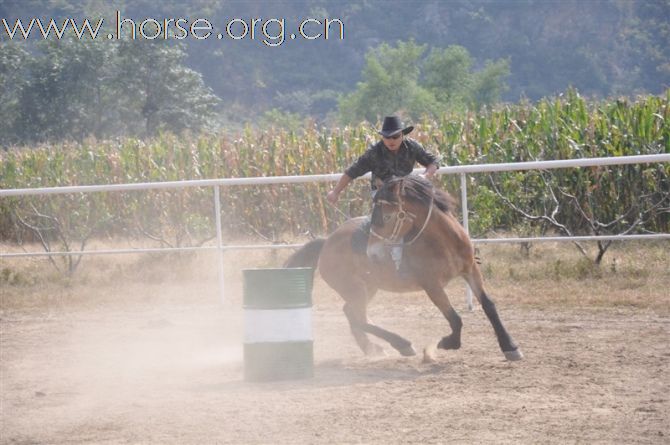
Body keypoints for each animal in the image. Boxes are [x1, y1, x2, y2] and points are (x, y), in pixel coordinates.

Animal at [284, 174, 524, 360]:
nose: (372, 253)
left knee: (353, 315)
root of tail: (325, 243)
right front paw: (447, 343)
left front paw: (510, 346)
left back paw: (373, 348)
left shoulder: (470, 271)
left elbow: (489, 306)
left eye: (388, 215)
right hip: (354, 288)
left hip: (368, 287)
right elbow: (454, 318)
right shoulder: (432, 285)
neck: (444, 242)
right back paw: (402, 344)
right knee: (357, 317)